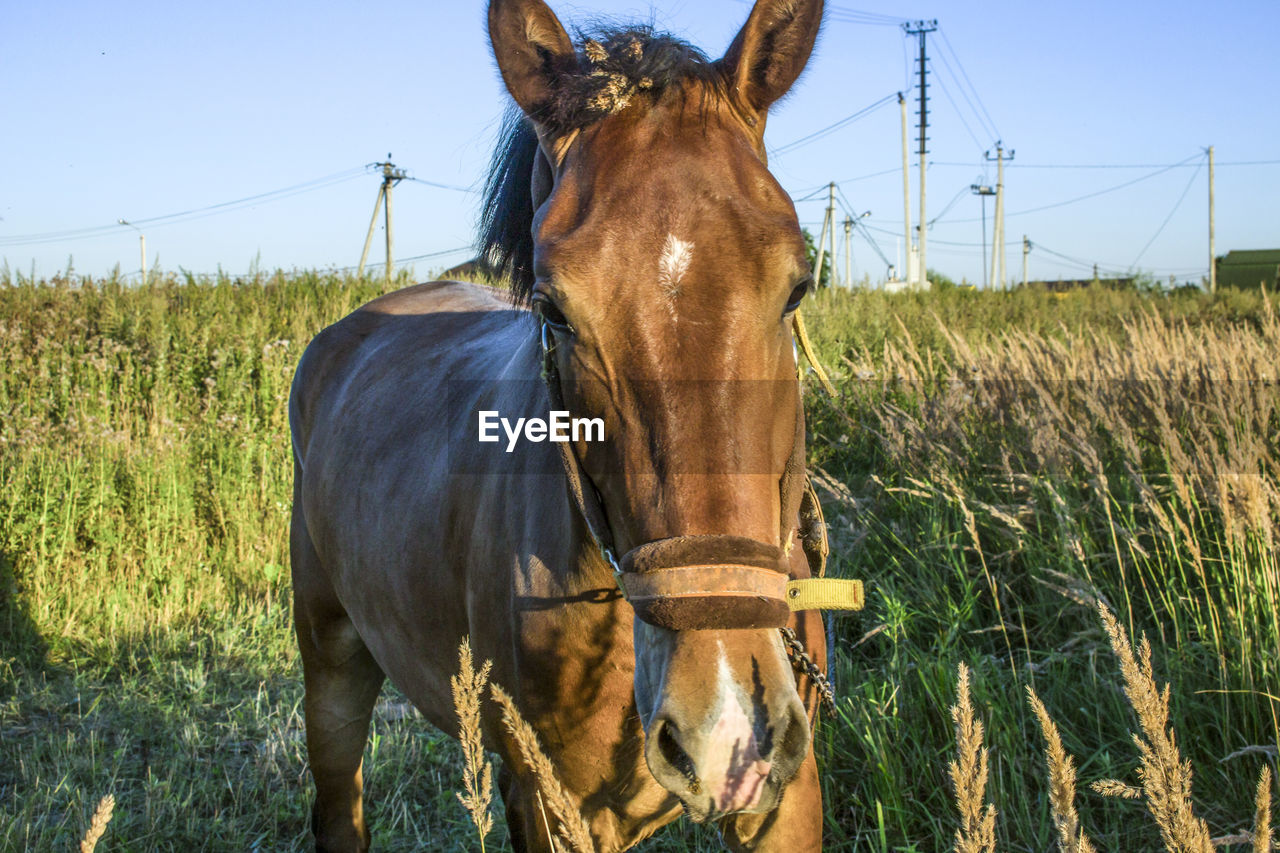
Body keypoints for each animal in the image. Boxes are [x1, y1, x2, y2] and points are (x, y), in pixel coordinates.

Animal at [285, 3, 834, 845]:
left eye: (798, 286)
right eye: (553, 309)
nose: (727, 732)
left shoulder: (787, 799)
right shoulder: (549, 806)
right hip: (330, 667)